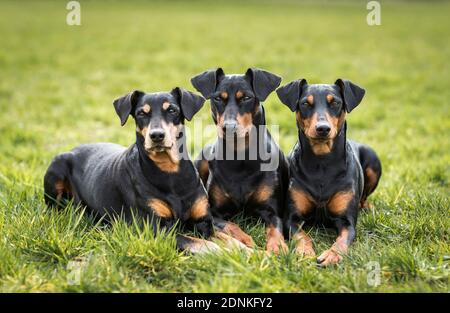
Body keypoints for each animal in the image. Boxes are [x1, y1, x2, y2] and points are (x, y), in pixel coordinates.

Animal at [44, 86, 225, 252]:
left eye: (172, 110)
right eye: (141, 113)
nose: (156, 135)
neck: (171, 172)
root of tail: (74, 148)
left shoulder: (203, 221)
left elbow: (224, 235)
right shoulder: (154, 229)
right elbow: (198, 242)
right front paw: (217, 251)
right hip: (56, 168)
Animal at [190, 68, 288, 254]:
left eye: (246, 98)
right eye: (218, 98)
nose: (228, 128)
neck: (239, 156)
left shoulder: (271, 210)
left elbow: (275, 229)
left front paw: (278, 247)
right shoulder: (213, 214)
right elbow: (231, 225)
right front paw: (245, 240)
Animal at [278, 78, 380, 264]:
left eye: (336, 103)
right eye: (305, 103)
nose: (323, 128)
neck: (322, 162)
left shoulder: (346, 221)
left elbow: (343, 239)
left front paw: (332, 255)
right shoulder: (291, 218)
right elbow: (302, 235)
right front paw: (305, 251)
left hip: (373, 159)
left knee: (364, 198)